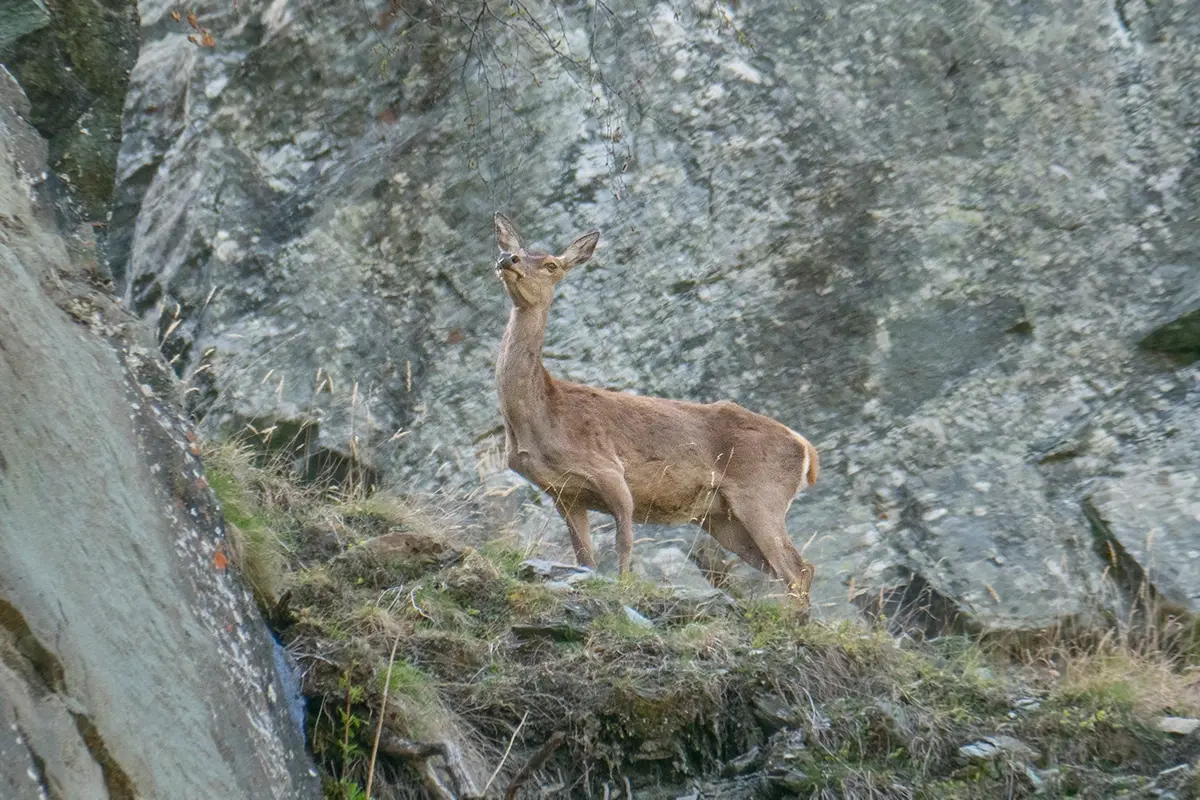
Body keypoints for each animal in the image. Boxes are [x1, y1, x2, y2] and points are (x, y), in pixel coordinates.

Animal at [491, 213, 821, 609]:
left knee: (797, 569)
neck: (540, 417)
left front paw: (623, 589)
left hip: (762, 494)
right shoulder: (564, 494)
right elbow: (584, 557)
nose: (507, 260)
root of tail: (806, 448)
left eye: (552, 264)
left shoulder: (610, 470)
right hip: (722, 518)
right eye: (515, 250)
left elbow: (624, 542)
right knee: (783, 570)